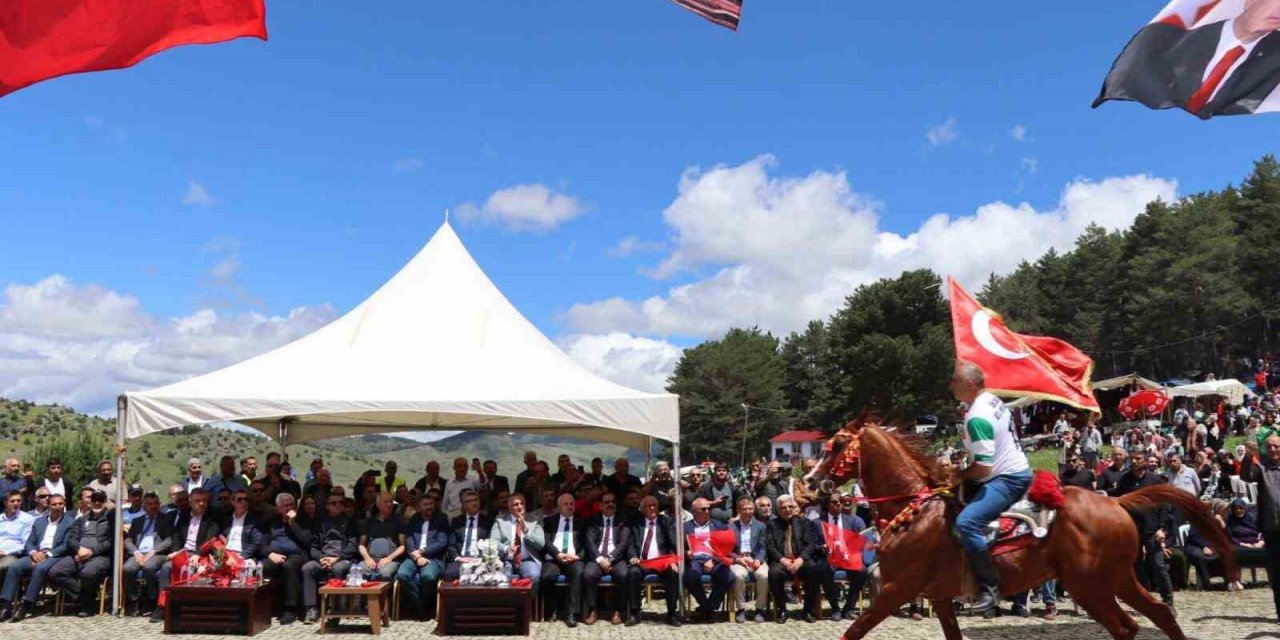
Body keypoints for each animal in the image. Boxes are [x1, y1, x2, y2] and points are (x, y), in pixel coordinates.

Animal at [803, 417, 1233, 640]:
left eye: (836, 445)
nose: (808, 483)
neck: (914, 508)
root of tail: (1115, 502)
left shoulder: (897, 589)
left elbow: (853, 632)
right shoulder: (938, 597)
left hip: (1089, 586)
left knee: (1126, 626)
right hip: (1118, 578)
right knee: (1158, 615)